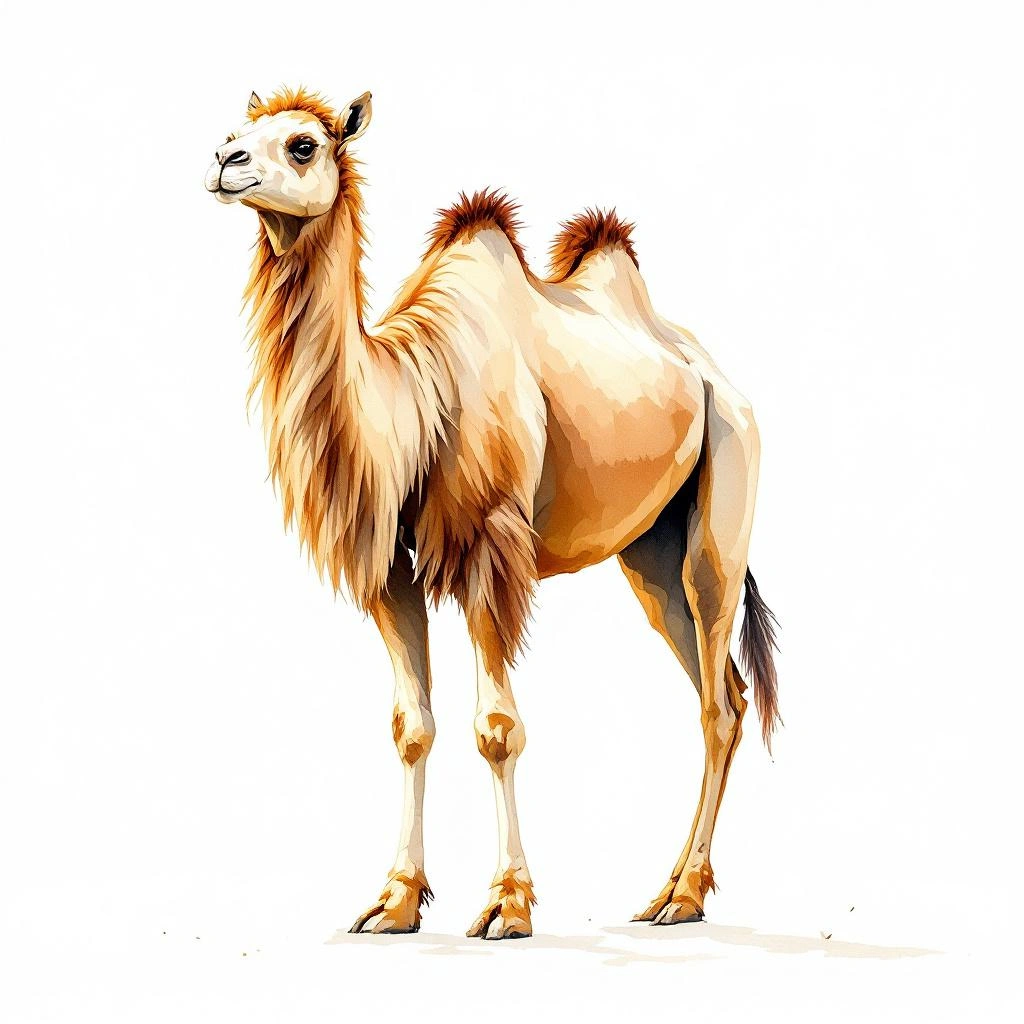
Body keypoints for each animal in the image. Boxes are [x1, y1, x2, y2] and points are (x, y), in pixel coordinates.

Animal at [205, 87, 780, 940]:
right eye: (240, 132)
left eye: (304, 144)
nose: (224, 161)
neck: (413, 401)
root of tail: (716, 374)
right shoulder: (391, 569)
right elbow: (411, 727)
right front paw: (394, 902)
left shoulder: (492, 550)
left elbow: (498, 729)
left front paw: (507, 903)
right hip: (650, 555)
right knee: (730, 695)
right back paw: (671, 890)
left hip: (722, 506)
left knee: (716, 701)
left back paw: (682, 896)